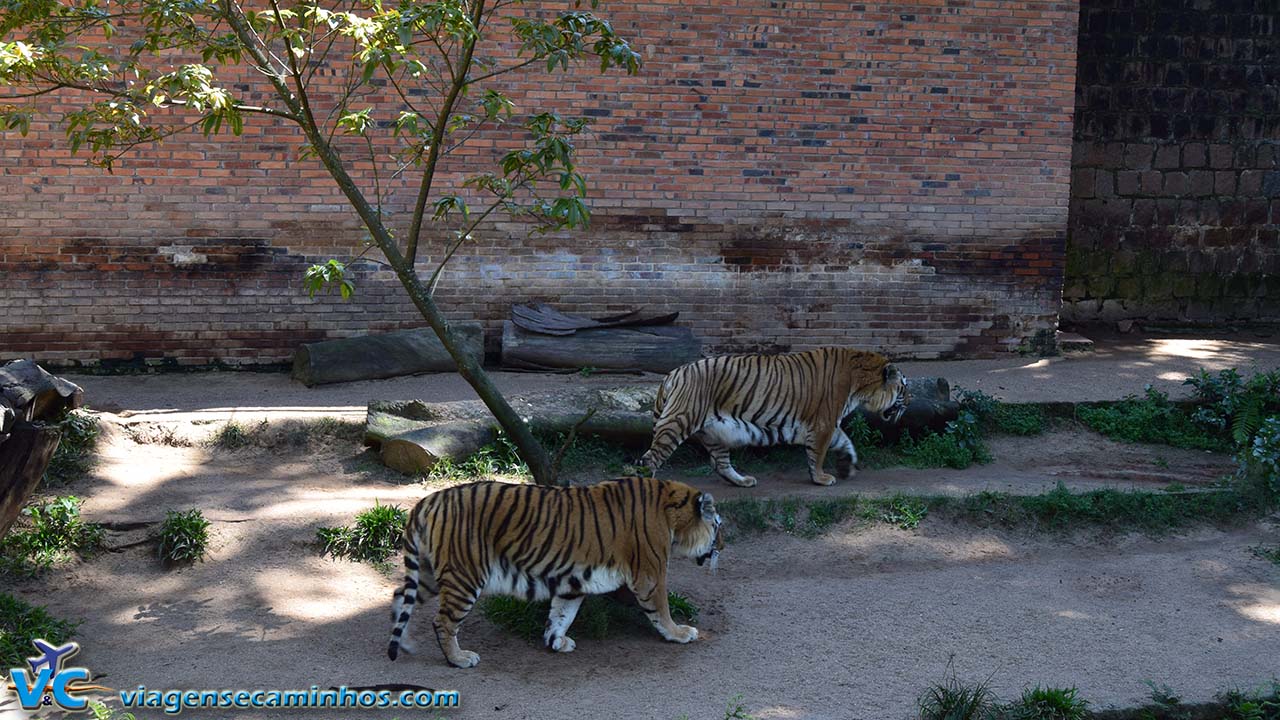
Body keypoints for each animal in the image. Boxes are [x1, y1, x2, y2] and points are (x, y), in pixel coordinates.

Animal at [384, 474, 727, 666]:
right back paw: (459, 659)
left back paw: (404, 644)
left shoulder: (572, 581)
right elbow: (662, 610)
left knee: (400, 593)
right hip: (464, 576)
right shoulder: (650, 575)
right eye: (718, 526)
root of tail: (427, 501)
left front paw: (556, 641)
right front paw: (679, 633)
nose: (723, 546)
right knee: (442, 622)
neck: (673, 514)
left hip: (430, 572)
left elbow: (562, 614)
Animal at [640, 345, 911, 484]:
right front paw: (821, 478)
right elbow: (818, 454)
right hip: (678, 421)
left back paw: (743, 481)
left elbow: (845, 441)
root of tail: (673, 373)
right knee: (649, 458)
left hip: (714, 432)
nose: (910, 402)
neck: (861, 384)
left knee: (720, 464)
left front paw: (847, 466)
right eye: (904, 388)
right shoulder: (823, 423)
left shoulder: (828, 425)